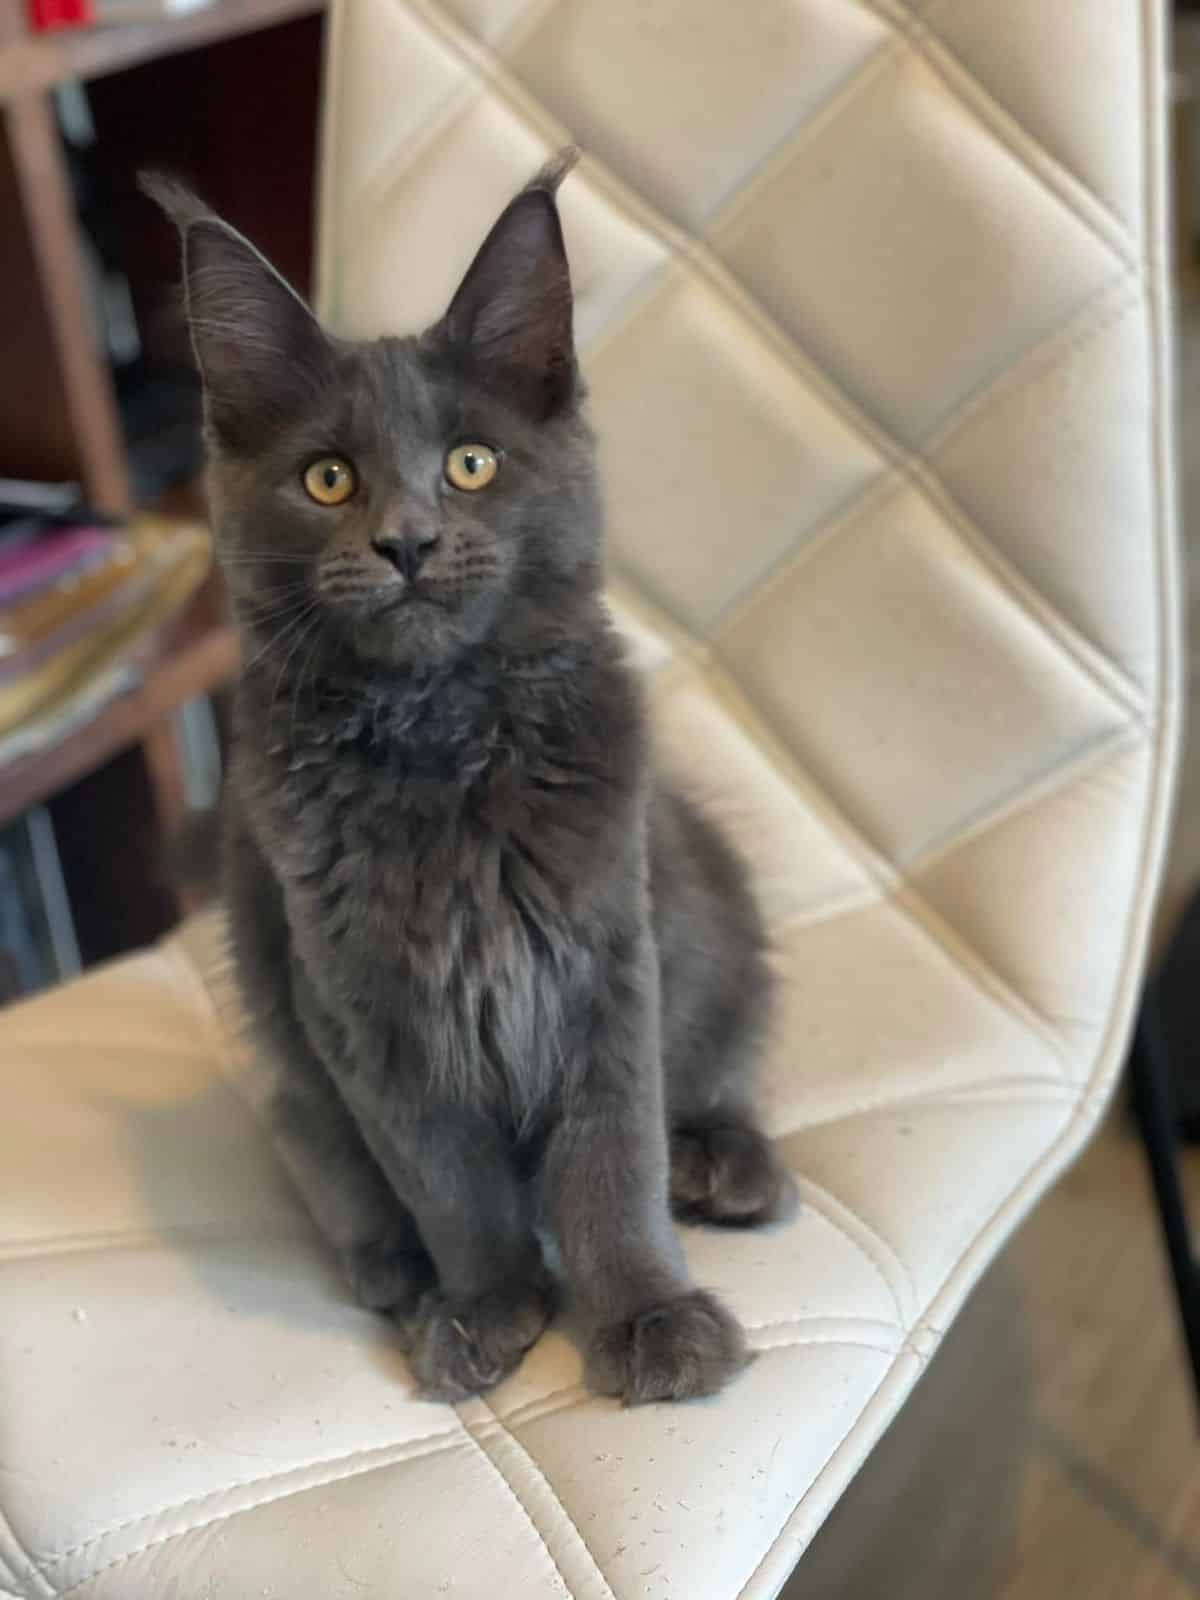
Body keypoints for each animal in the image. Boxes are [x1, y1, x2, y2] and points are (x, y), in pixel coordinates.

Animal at [145, 152, 793, 1401]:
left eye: (471, 463)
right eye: (329, 479)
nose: (407, 542)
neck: (440, 737)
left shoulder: (602, 957)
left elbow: (610, 1158)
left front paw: (648, 1313)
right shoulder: (354, 1006)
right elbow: (447, 1179)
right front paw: (486, 1301)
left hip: (709, 905)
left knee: (713, 1068)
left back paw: (724, 1162)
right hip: (288, 1067)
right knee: (337, 1168)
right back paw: (392, 1266)